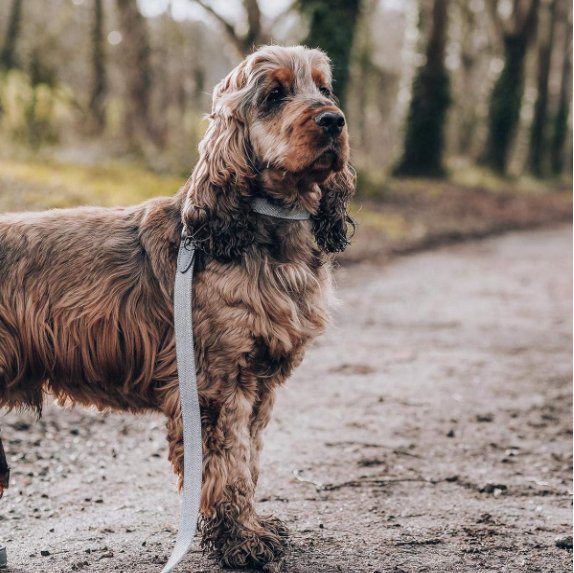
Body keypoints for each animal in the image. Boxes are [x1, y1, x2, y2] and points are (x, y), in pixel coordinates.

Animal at [0, 45, 358, 568]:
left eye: (324, 88)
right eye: (274, 94)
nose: (334, 120)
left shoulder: (258, 384)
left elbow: (249, 461)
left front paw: (251, 527)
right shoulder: (217, 385)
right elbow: (227, 467)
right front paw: (241, 542)